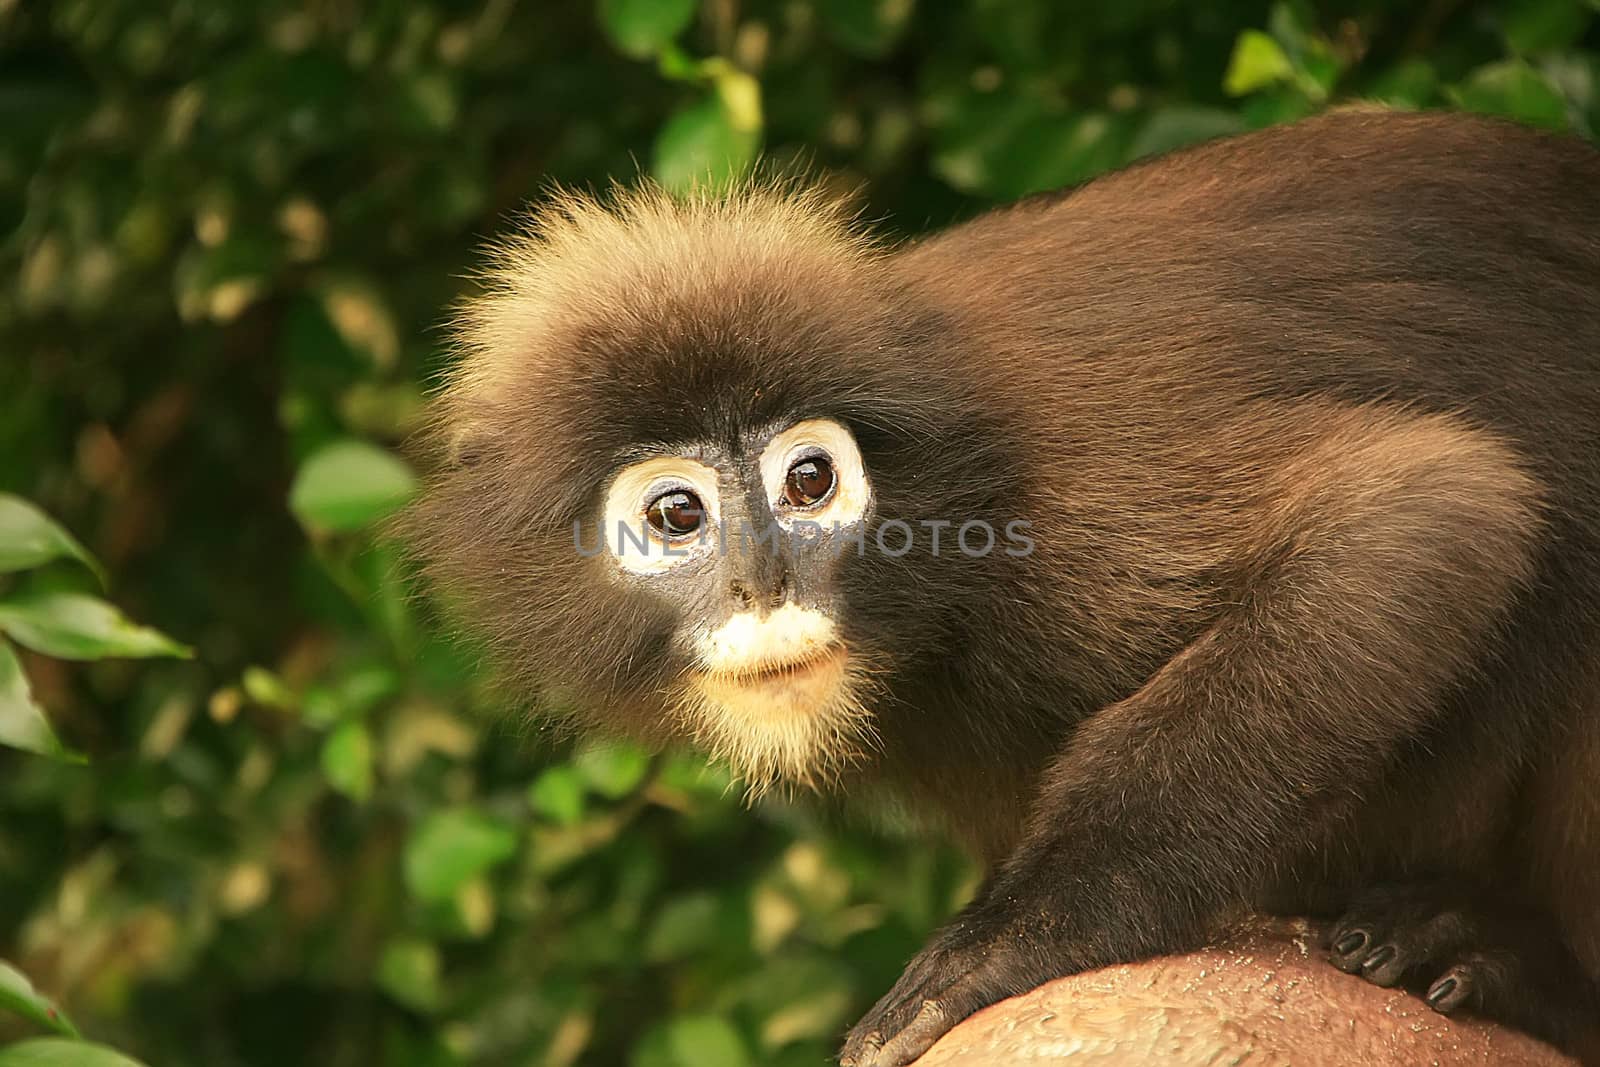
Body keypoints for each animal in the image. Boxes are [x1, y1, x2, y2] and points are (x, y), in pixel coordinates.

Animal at [406, 110, 1600, 1067]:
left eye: (808, 479)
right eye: (676, 515)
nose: (763, 584)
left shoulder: (1063, 508)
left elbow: (1427, 508)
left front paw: (1017, 934)